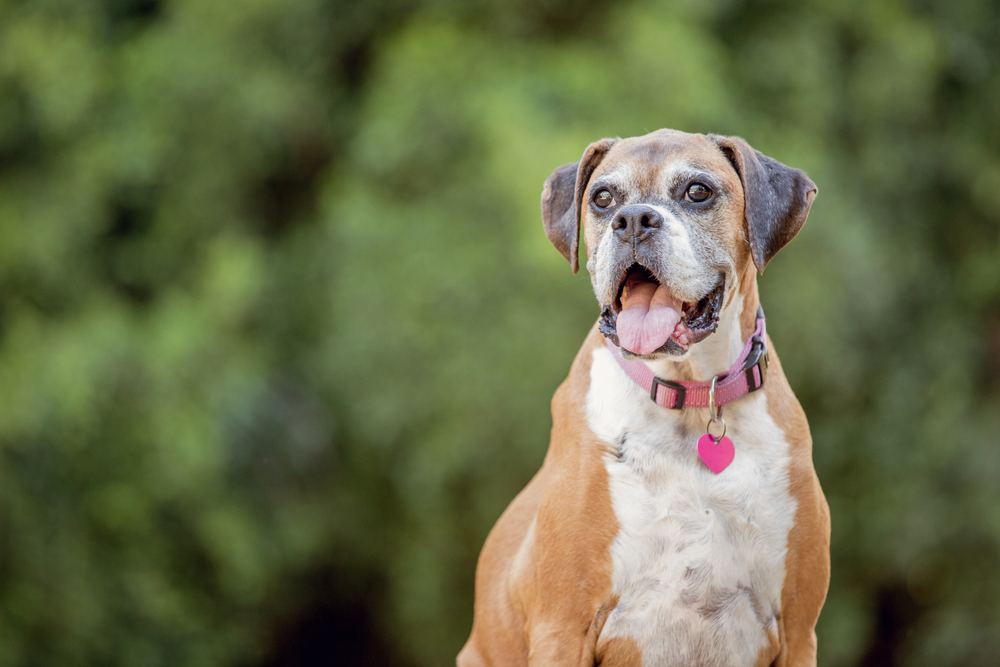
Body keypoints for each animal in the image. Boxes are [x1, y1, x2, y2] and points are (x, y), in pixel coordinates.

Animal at [458, 130, 828, 667]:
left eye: (698, 191)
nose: (633, 220)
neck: (690, 399)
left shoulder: (799, 633)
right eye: (602, 198)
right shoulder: (561, 629)